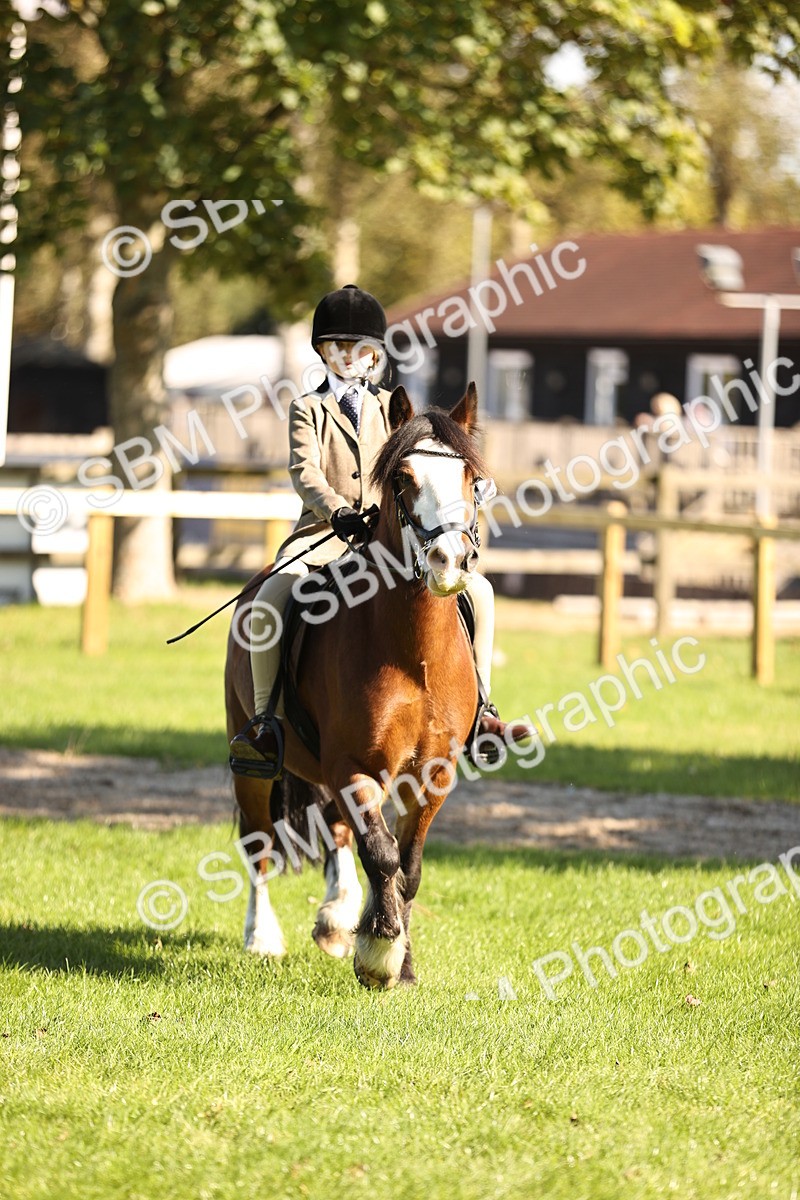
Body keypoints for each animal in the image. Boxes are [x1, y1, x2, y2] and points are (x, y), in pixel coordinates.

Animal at [224, 383, 487, 989]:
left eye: (470, 477)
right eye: (403, 479)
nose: (450, 561)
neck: (414, 653)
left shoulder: (432, 774)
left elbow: (406, 865)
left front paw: (400, 962)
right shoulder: (353, 765)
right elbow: (383, 855)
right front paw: (378, 953)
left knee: (340, 834)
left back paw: (337, 917)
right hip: (252, 762)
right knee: (259, 843)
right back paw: (263, 936)